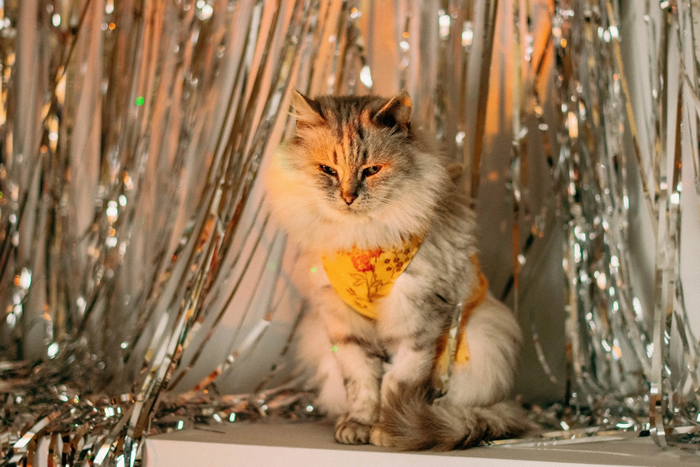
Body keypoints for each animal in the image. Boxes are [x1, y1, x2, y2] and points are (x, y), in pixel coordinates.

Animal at [265, 90, 530, 450]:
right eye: (328, 170)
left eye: (372, 170)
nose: (348, 197)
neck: (362, 238)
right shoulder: (345, 325)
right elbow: (361, 384)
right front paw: (359, 426)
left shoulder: (417, 319)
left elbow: (397, 384)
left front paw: (387, 429)